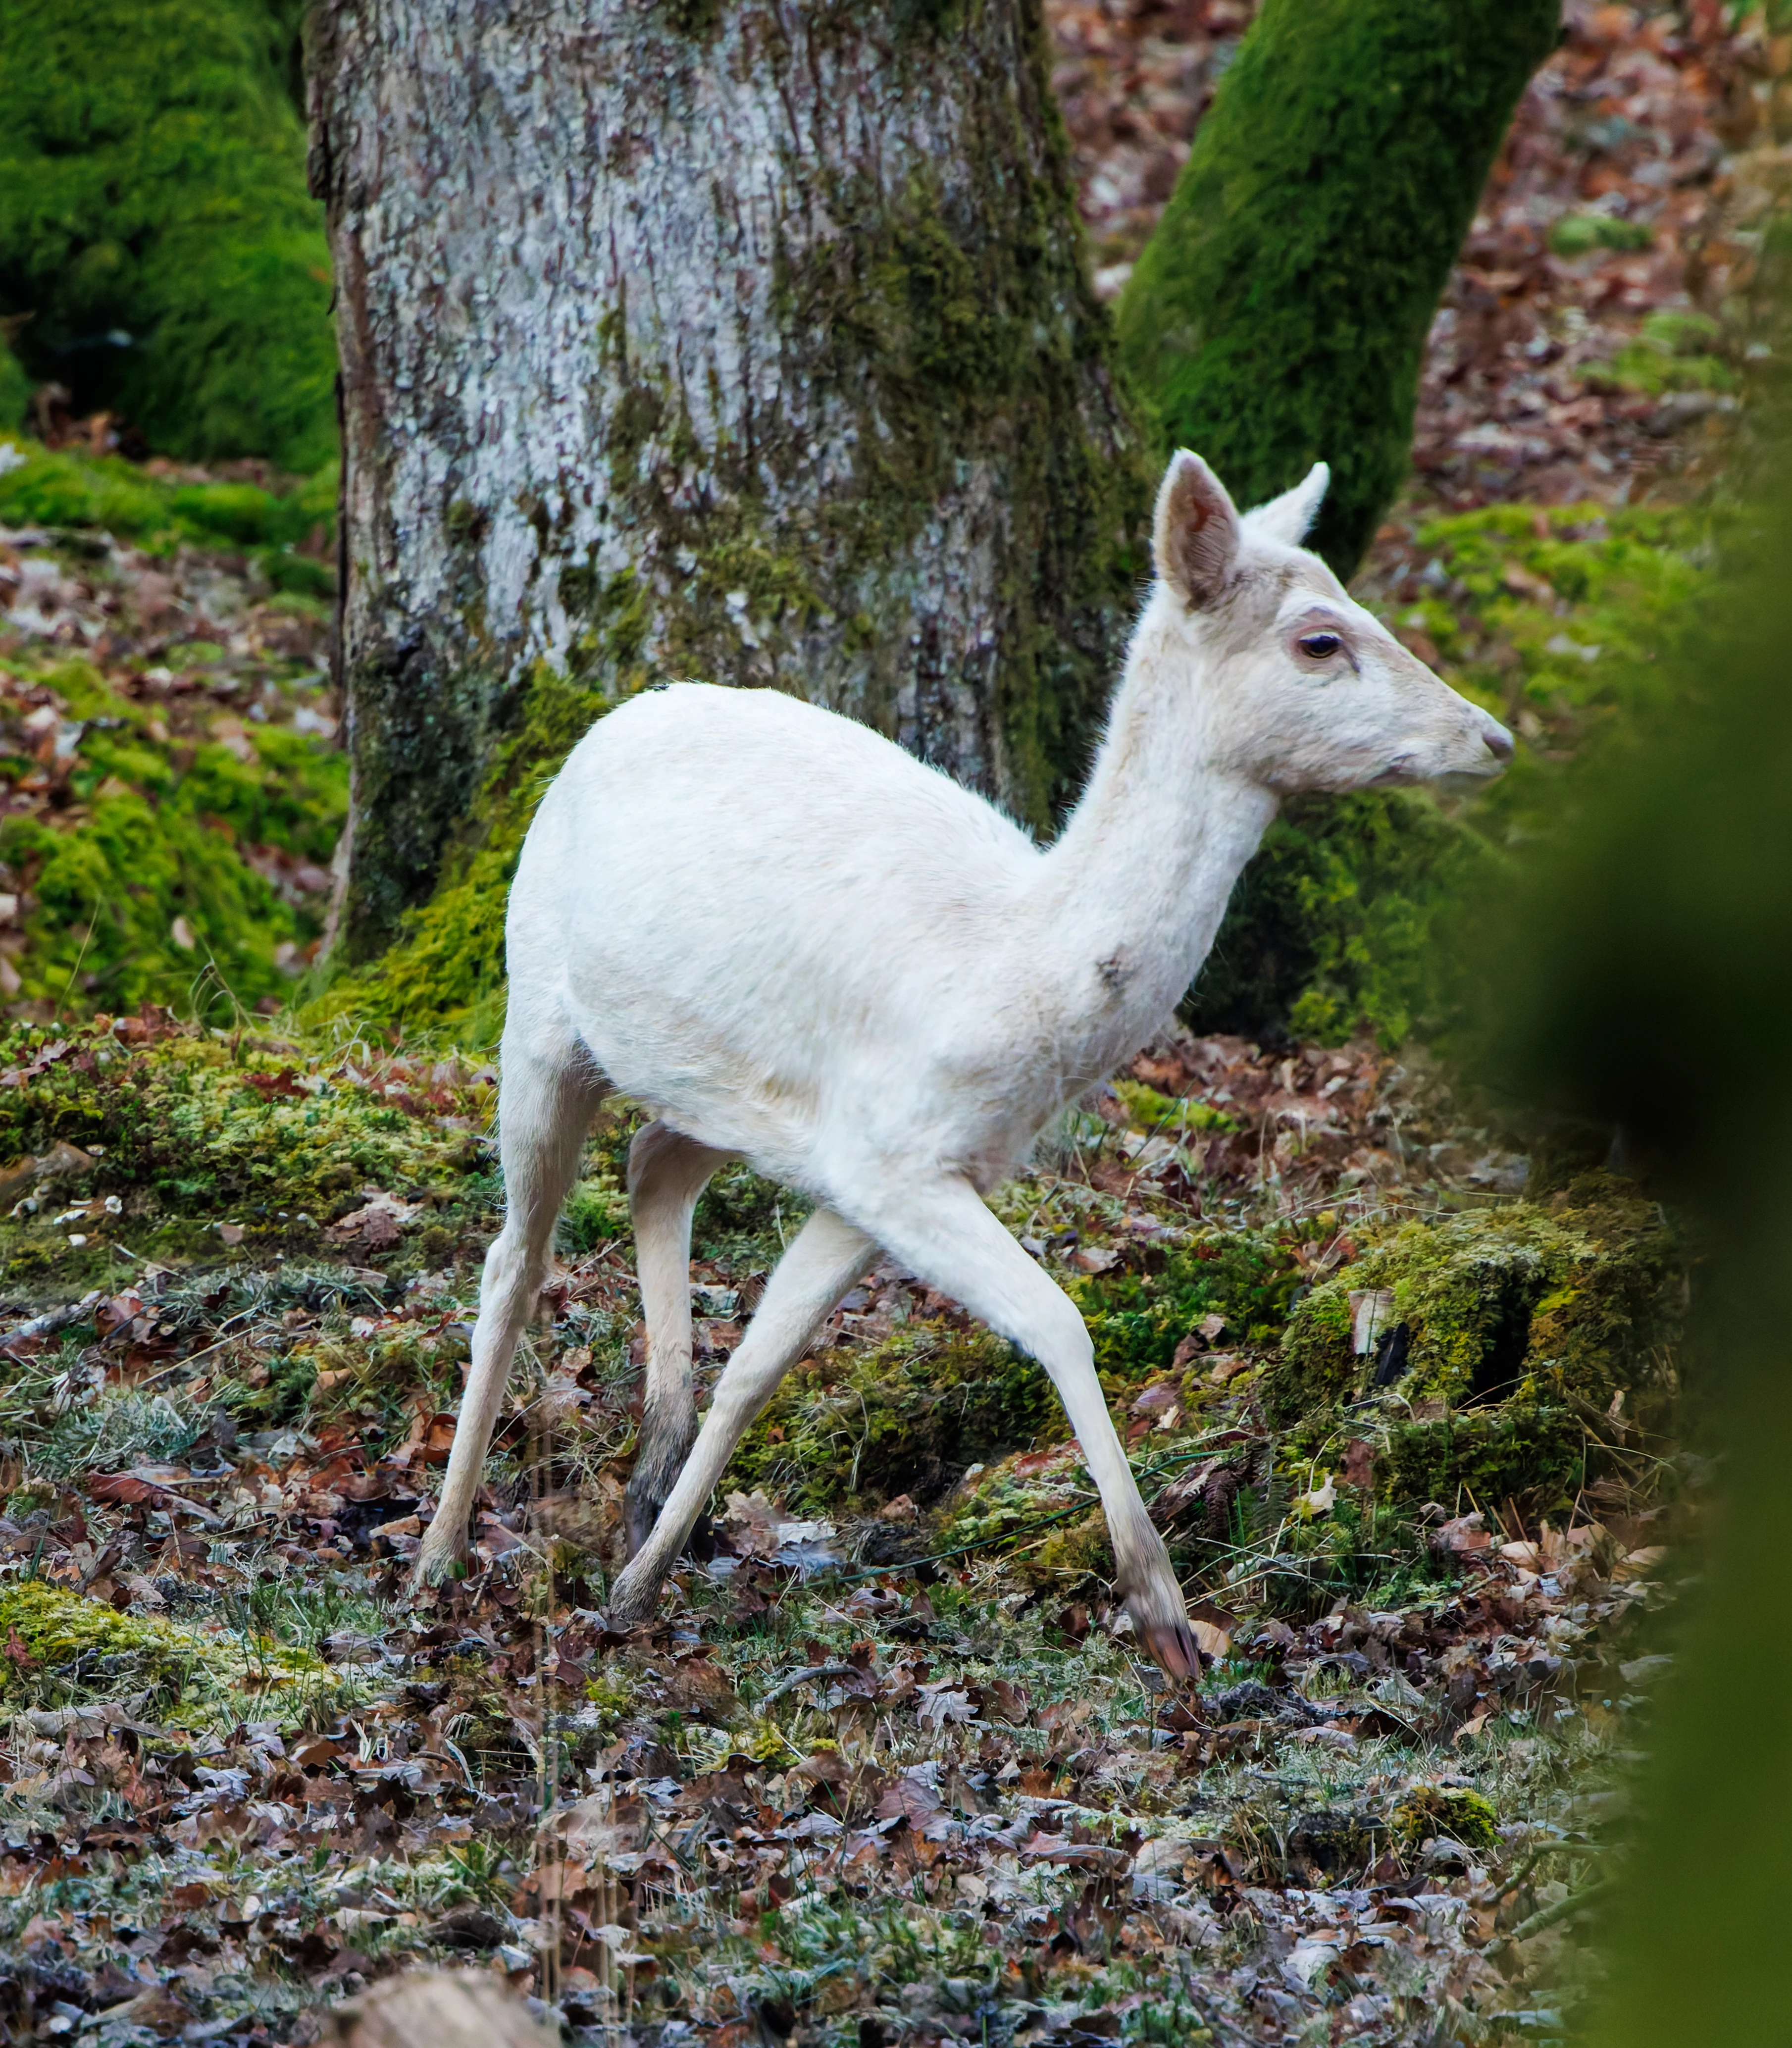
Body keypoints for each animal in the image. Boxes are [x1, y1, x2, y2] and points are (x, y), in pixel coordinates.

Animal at [412, 451, 1512, 1677]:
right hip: (537, 1010)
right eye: (1320, 637)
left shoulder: (884, 1170)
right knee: (514, 1258)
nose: (1491, 739)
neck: (1016, 975)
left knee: (654, 1164)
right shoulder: (892, 1157)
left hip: (715, 1088)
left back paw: (643, 1477)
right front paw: (1165, 1617)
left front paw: (639, 1580)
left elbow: (763, 1360)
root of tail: (610, 720)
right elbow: (1059, 1321)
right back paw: (439, 1549)